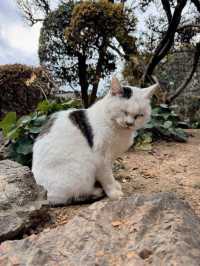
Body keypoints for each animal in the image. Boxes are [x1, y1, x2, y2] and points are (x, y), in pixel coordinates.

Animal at [32, 77, 158, 206]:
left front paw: (115, 185)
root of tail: (44, 195)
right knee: (70, 196)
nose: (129, 124)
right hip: (82, 168)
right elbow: (107, 178)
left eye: (139, 115)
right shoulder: (101, 159)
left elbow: (109, 174)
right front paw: (113, 192)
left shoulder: (110, 158)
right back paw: (95, 191)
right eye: (124, 112)